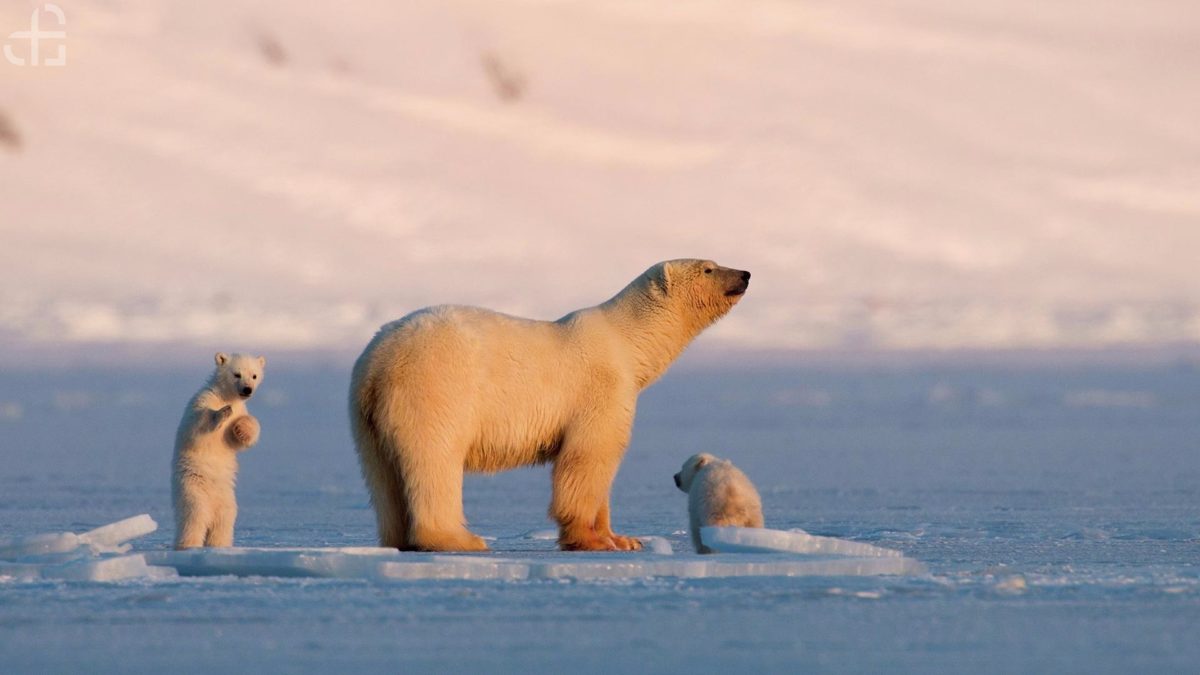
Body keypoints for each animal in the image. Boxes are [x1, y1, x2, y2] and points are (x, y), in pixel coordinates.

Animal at [172, 353, 266, 547]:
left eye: (254, 375)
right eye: (237, 374)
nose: (247, 389)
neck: (225, 396)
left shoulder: (241, 408)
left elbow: (237, 439)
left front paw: (242, 428)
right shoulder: (202, 399)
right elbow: (196, 425)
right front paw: (223, 412)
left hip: (226, 499)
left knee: (223, 522)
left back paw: (219, 545)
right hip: (193, 489)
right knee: (194, 518)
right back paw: (188, 545)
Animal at [348, 260, 748, 550]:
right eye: (708, 267)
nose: (745, 274)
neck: (626, 342)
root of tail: (378, 361)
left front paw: (625, 539)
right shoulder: (600, 390)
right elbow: (588, 459)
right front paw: (593, 541)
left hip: (365, 416)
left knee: (382, 477)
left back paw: (398, 539)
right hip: (436, 388)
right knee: (435, 459)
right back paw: (459, 539)